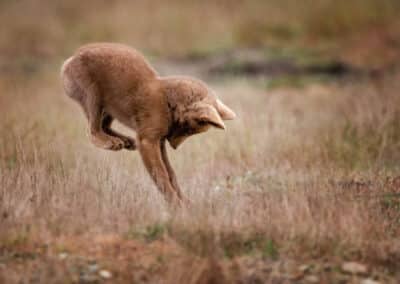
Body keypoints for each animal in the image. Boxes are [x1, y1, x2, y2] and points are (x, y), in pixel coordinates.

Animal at [59, 42, 234, 204]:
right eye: (188, 129)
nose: (175, 147)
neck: (168, 102)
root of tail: (70, 59)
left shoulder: (160, 142)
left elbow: (171, 173)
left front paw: (184, 201)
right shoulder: (148, 141)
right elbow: (161, 174)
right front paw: (175, 204)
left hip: (110, 107)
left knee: (104, 126)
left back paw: (125, 141)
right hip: (94, 95)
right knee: (93, 130)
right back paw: (110, 142)